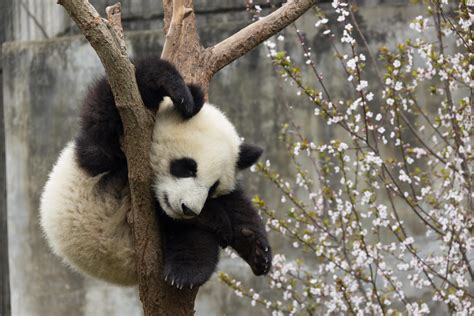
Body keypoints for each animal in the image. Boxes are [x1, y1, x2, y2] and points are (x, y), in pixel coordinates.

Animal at [40, 55, 272, 288]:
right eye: (187, 167)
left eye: (213, 187)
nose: (189, 209)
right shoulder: (102, 150)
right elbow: (107, 108)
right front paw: (180, 92)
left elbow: (236, 202)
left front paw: (254, 245)